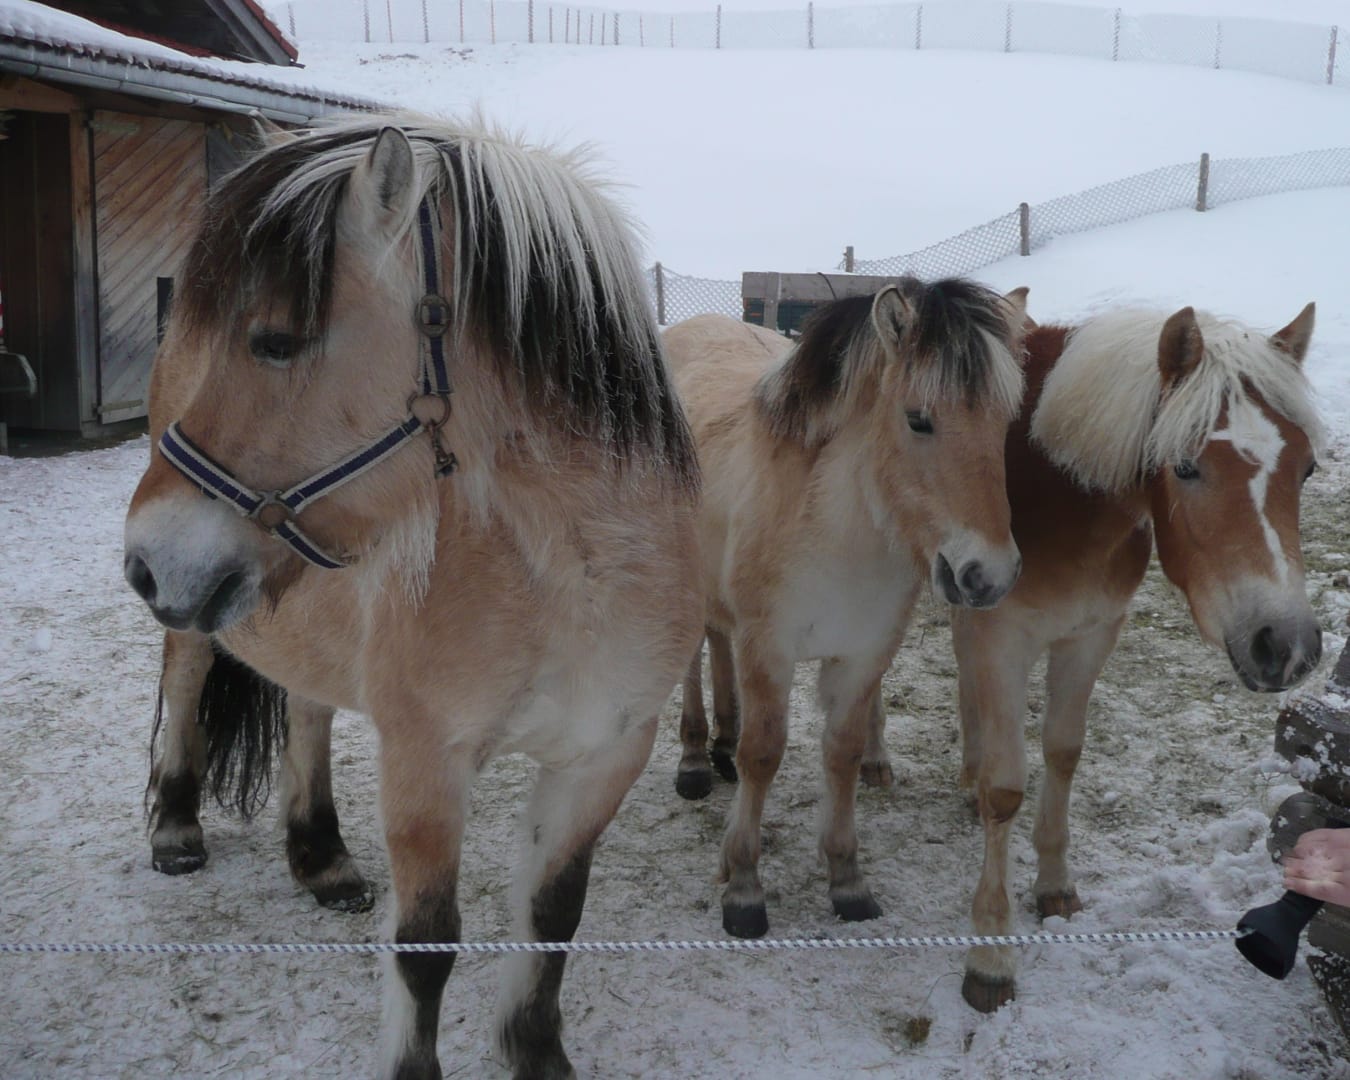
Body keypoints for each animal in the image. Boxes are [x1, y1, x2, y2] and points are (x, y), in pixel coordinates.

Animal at [663, 280, 1029, 939]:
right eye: (918, 420)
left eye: (1005, 422)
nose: (989, 575)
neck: (833, 528)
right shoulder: (770, 649)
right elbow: (764, 754)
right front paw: (744, 886)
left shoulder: (864, 653)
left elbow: (842, 752)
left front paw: (846, 878)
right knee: (694, 661)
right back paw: (696, 760)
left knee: (718, 643)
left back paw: (721, 744)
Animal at [858, 303, 1324, 1012]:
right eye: (1185, 467)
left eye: (1307, 470)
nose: (1286, 645)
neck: (1053, 485)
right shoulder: (1005, 640)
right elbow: (1006, 788)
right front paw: (991, 955)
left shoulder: (1090, 635)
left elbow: (1063, 752)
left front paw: (1054, 885)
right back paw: (874, 758)